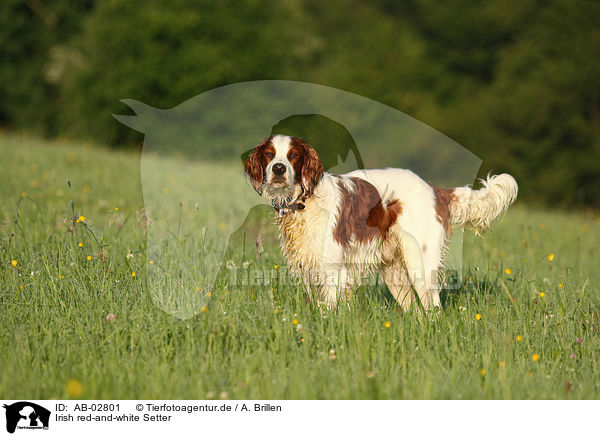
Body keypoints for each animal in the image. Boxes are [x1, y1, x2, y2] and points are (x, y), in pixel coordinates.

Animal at [246, 135, 516, 312]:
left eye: (293, 155)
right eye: (269, 154)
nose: (278, 169)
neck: (305, 201)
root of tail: (434, 189)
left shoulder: (334, 271)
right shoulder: (307, 270)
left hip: (420, 265)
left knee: (433, 309)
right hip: (395, 273)